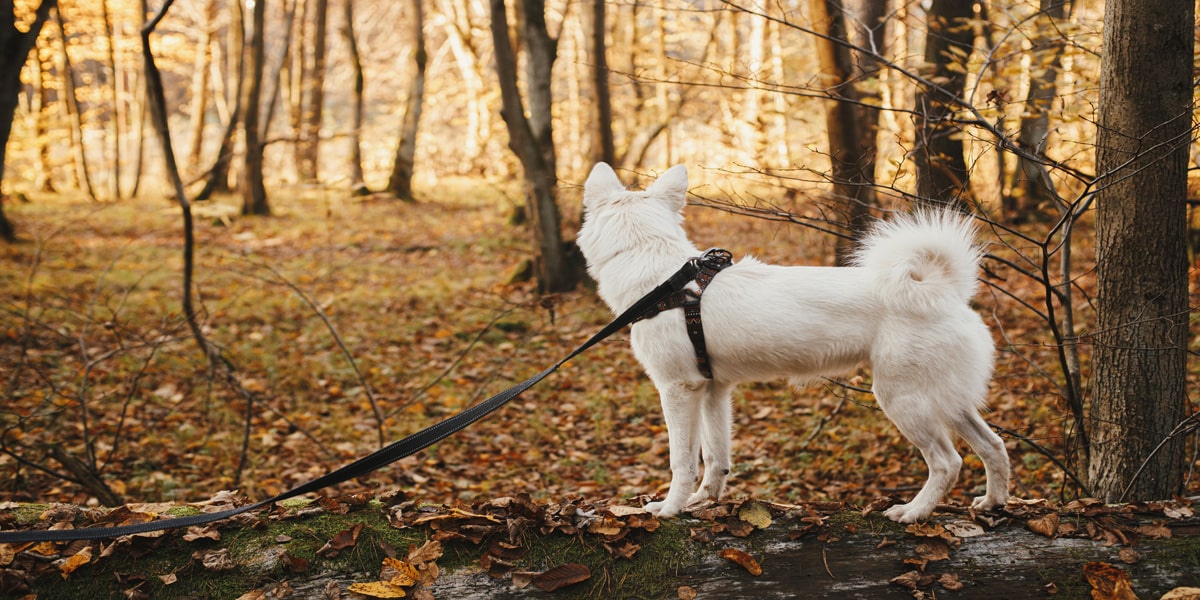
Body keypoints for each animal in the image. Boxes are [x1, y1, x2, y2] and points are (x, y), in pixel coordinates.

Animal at [576, 163, 1008, 520]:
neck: (665, 282)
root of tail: (944, 292)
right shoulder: (714, 391)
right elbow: (715, 457)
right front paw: (704, 500)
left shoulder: (679, 390)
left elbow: (682, 461)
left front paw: (670, 508)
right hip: (947, 400)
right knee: (993, 445)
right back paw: (993, 502)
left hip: (903, 400)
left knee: (947, 462)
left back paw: (914, 512)